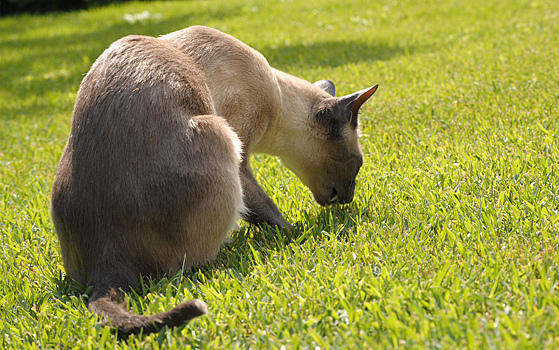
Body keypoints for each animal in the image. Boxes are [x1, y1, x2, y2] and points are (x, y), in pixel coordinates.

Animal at [50, 25, 378, 336]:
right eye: (358, 165)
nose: (347, 199)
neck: (277, 96)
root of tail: (105, 265)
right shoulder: (240, 156)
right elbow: (267, 209)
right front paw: (300, 236)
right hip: (218, 133)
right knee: (193, 264)